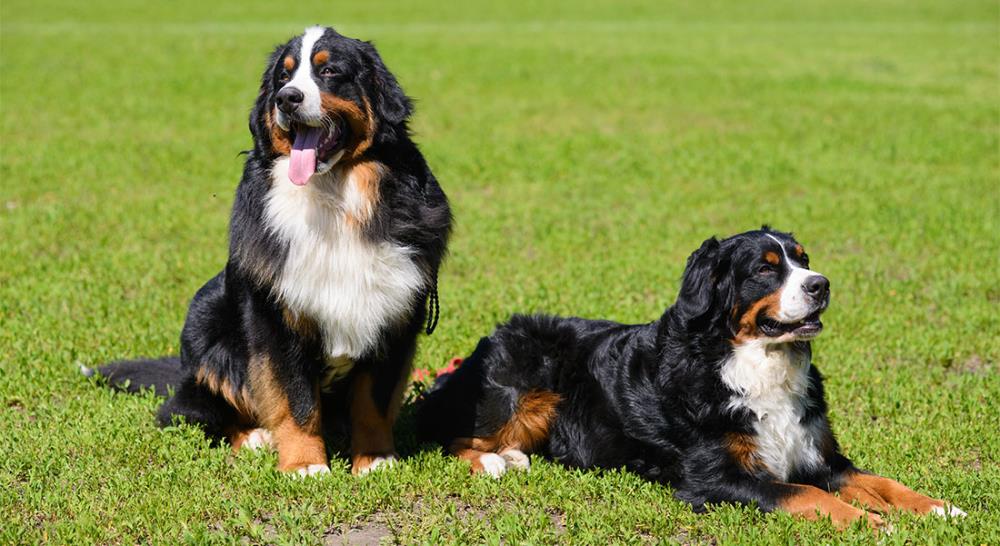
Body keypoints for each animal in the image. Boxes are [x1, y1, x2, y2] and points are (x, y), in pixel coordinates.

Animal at [94, 27, 454, 474]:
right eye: (283, 77)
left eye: (329, 71)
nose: (288, 98)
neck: (332, 198)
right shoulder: (276, 316)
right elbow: (295, 398)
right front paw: (305, 466)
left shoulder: (395, 316)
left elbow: (373, 402)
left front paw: (375, 460)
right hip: (206, 316)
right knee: (192, 412)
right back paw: (253, 437)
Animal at [414, 226, 960, 528]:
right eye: (766, 270)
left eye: (803, 259)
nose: (821, 285)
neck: (753, 362)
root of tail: (483, 345)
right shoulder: (716, 477)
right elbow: (807, 495)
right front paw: (871, 523)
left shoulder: (818, 456)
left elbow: (882, 482)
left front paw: (938, 508)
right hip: (522, 383)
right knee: (452, 438)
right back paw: (495, 461)